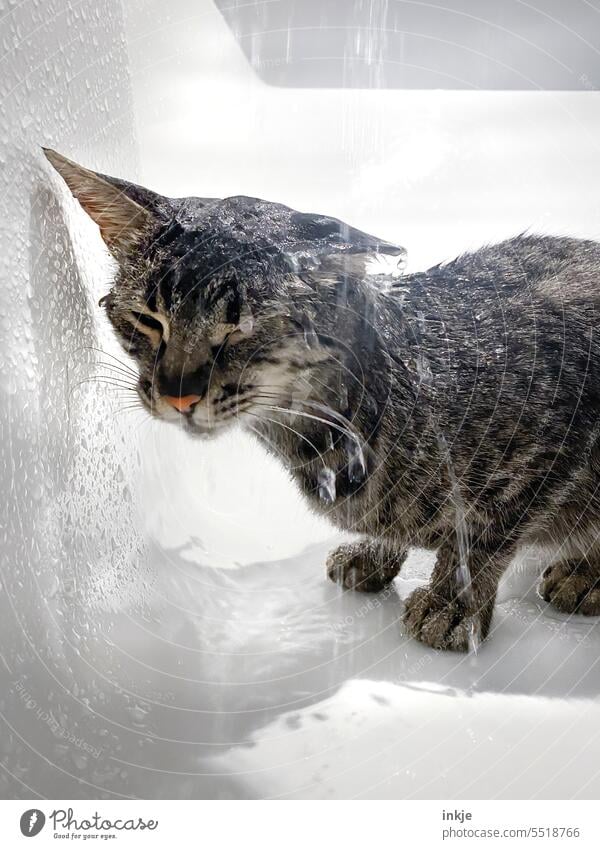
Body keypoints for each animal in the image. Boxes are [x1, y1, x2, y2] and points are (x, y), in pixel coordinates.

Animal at [44, 147, 600, 648]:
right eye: (147, 320)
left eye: (241, 329)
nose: (177, 395)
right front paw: (374, 553)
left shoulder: (544, 452)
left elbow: (479, 536)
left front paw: (453, 604)